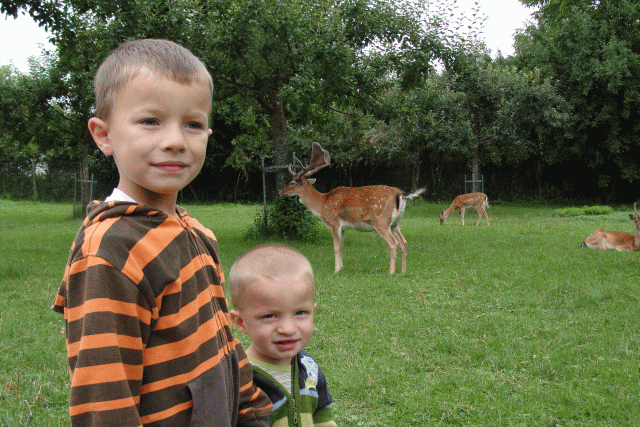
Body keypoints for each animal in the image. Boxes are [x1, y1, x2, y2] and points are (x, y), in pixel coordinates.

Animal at [280, 142, 424, 276]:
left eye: (292, 183)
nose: (280, 190)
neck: (322, 205)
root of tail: (402, 194)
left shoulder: (334, 223)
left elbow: (336, 247)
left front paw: (336, 270)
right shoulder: (343, 227)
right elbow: (342, 246)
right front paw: (342, 268)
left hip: (381, 221)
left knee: (394, 243)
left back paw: (391, 272)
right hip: (395, 223)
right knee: (404, 242)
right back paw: (403, 271)